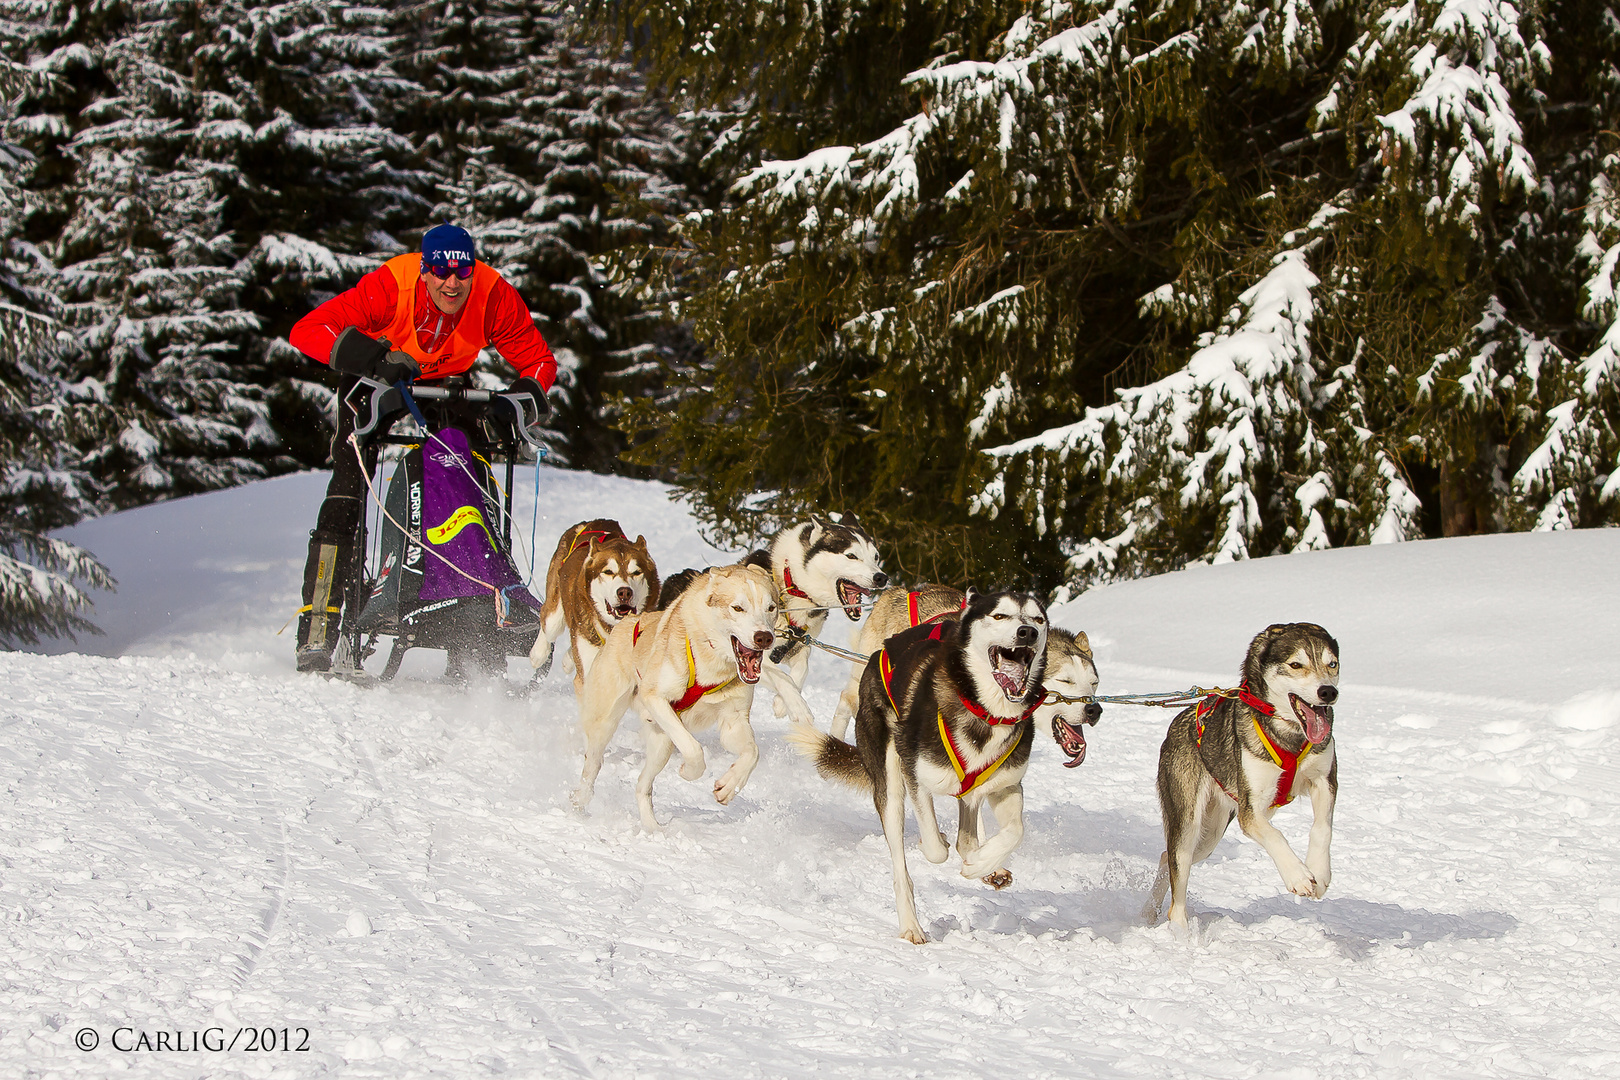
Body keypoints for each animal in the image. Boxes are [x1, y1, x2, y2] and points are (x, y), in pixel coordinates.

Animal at [531, 521, 657, 693]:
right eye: (608, 572)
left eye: (637, 572)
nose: (625, 592)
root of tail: (591, 523)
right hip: (554, 615)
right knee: (546, 618)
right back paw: (538, 653)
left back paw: (568, 659)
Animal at [573, 566, 822, 829]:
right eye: (737, 608)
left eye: (771, 608)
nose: (764, 637)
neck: (713, 662)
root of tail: (628, 622)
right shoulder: (656, 699)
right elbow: (693, 749)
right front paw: (689, 771)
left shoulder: (733, 721)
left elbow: (752, 753)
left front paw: (729, 785)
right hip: (606, 721)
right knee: (593, 763)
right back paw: (580, 800)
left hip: (661, 745)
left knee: (642, 785)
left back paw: (652, 828)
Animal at [790, 586, 1056, 939]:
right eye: (999, 615)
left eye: (1038, 619)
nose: (1028, 632)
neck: (985, 713)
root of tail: (882, 650)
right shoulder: (915, 776)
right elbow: (935, 848)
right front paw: (945, 845)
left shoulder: (1006, 785)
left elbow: (1015, 831)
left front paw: (982, 862)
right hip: (890, 785)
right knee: (903, 865)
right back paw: (911, 925)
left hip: (972, 790)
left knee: (969, 827)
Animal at [1146, 625, 1347, 932]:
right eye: (1296, 664)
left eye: (1332, 664)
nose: (1327, 691)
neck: (1290, 736)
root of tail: (1178, 723)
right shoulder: (1250, 811)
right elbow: (1275, 835)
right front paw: (1298, 875)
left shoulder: (1325, 781)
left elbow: (1322, 828)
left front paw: (1319, 871)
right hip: (1189, 823)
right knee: (1177, 884)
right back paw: (1180, 933)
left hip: (1210, 835)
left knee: (1166, 857)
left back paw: (1148, 910)